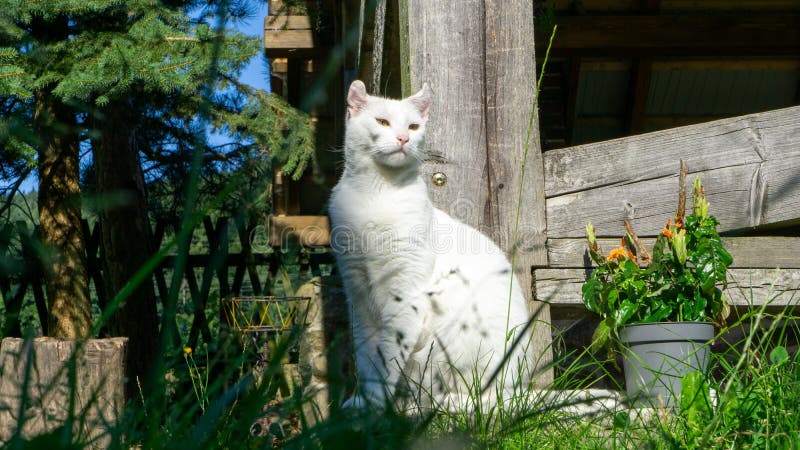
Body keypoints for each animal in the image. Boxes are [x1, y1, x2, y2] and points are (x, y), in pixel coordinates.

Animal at [328, 80, 536, 412]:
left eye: (413, 126)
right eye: (382, 122)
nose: (403, 138)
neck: (376, 194)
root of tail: (522, 389)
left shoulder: (405, 296)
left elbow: (387, 359)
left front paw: (377, 406)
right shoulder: (358, 296)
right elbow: (366, 357)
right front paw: (364, 403)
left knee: (478, 398)